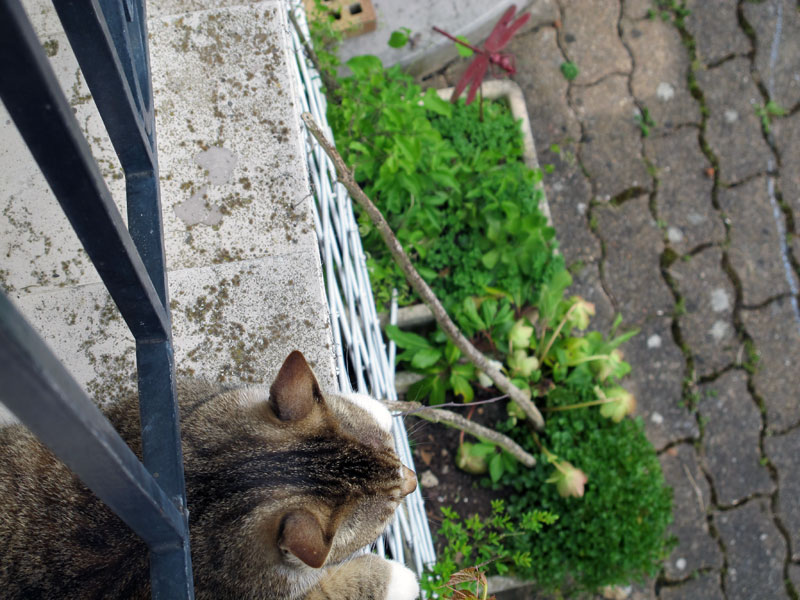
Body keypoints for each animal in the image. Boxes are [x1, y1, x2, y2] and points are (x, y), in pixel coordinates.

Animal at [0, 350, 420, 600]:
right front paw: (402, 579)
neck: (198, 491)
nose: (414, 480)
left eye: (391, 450)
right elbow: (339, 587)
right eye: (387, 514)